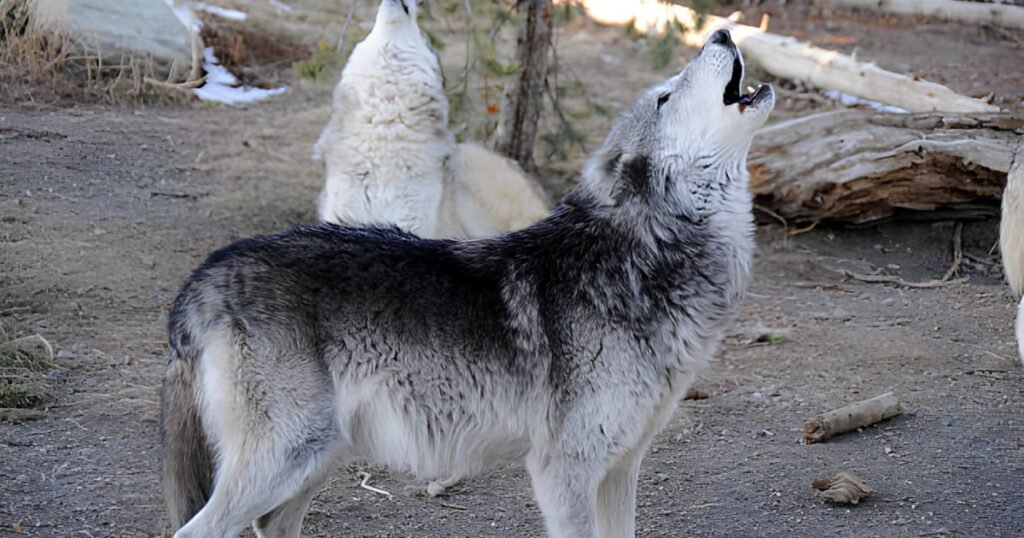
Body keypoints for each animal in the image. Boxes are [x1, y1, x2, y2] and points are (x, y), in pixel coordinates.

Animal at [161, 29, 774, 538]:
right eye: (666, 97)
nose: (722, 31)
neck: (644, 253)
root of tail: (205, 274)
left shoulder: (622, 467)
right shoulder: (564, 470)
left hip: (315, 458)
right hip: (288, 457)